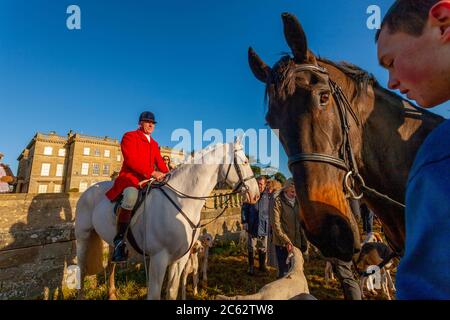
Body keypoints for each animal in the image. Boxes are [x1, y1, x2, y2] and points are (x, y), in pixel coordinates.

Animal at [75, 141, 258, 298]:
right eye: (245, 162)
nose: (256, 194)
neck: (181, 201)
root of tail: (89, 189)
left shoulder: (180, 258)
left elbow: (172, 291)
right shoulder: (158, 259)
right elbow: (155, 294)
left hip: (112, 242)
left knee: (111, 264)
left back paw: (112, 293)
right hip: (83, 236)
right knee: (81, 269)